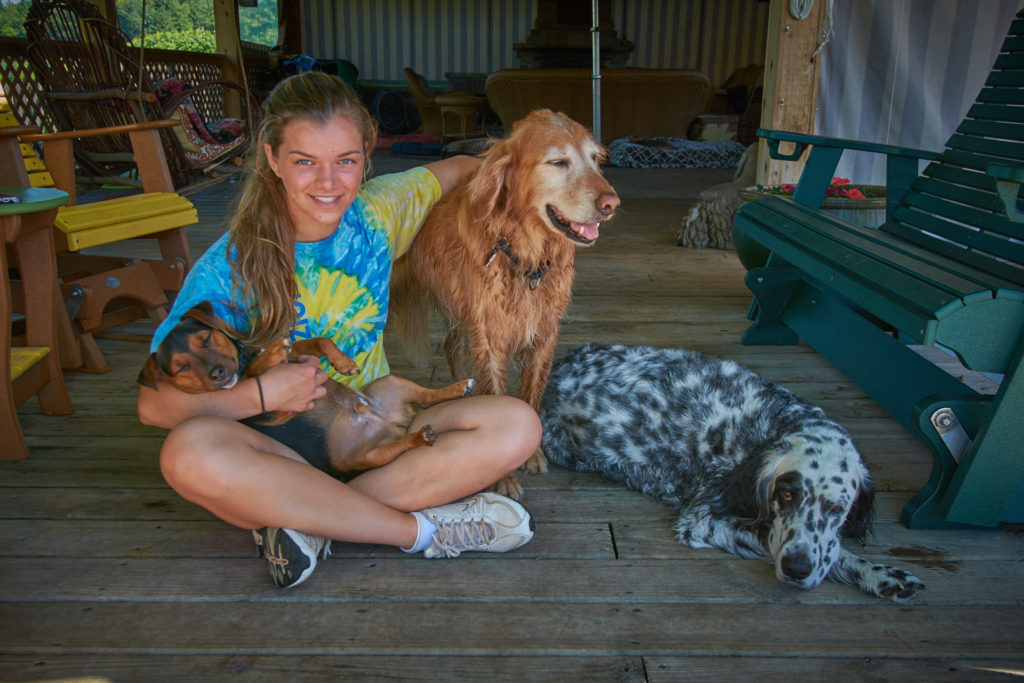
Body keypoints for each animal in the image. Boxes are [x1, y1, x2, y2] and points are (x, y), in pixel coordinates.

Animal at [140, 305, 475, 481]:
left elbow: (319, 341)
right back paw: (421, 435)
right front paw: (271, 353)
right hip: (367, 455)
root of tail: (393, 422)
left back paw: (459, 387)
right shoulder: (273, 408)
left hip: (390, 383)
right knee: (405, 443)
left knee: (428, 396)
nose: (218, 373)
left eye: (207, 339)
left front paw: (343, 362)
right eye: (182, 368)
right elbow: (256, 374)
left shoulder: (301, 354)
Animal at [389, 111, 614, 497]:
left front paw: (532, 454)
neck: (524, 258)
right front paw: (504, 477)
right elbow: (497, 398)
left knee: (451, 347)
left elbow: (531, 399)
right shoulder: (490, 337)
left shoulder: (543, 333)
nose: (611, 204)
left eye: (595, 159)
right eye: (558, 162)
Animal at [544, 344, 929, 602]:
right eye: (786, 494)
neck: (773, 424)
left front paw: (880, 573)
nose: (796, 569)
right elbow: (774, 538)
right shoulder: (702, 519)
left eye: (837, 509)